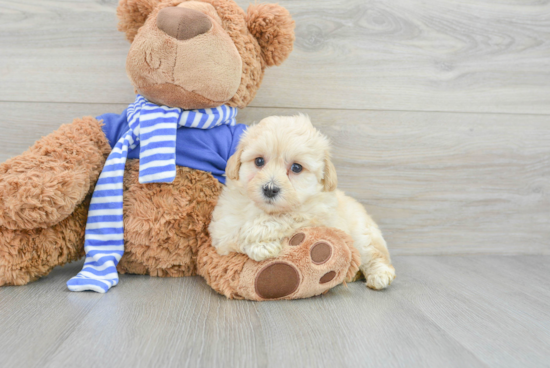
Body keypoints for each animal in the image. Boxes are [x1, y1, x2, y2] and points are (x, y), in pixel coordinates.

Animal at [210, 115, 396, 290]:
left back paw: (380, 275)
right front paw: (261, 247)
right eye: (259, 161)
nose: (270, 189)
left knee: (374, 255)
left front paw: (256, 232)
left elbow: (287, 217)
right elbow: (233, 235)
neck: (264, 210)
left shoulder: (317, 214)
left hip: (362, 235)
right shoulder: (222, 227)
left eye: (296, 168)